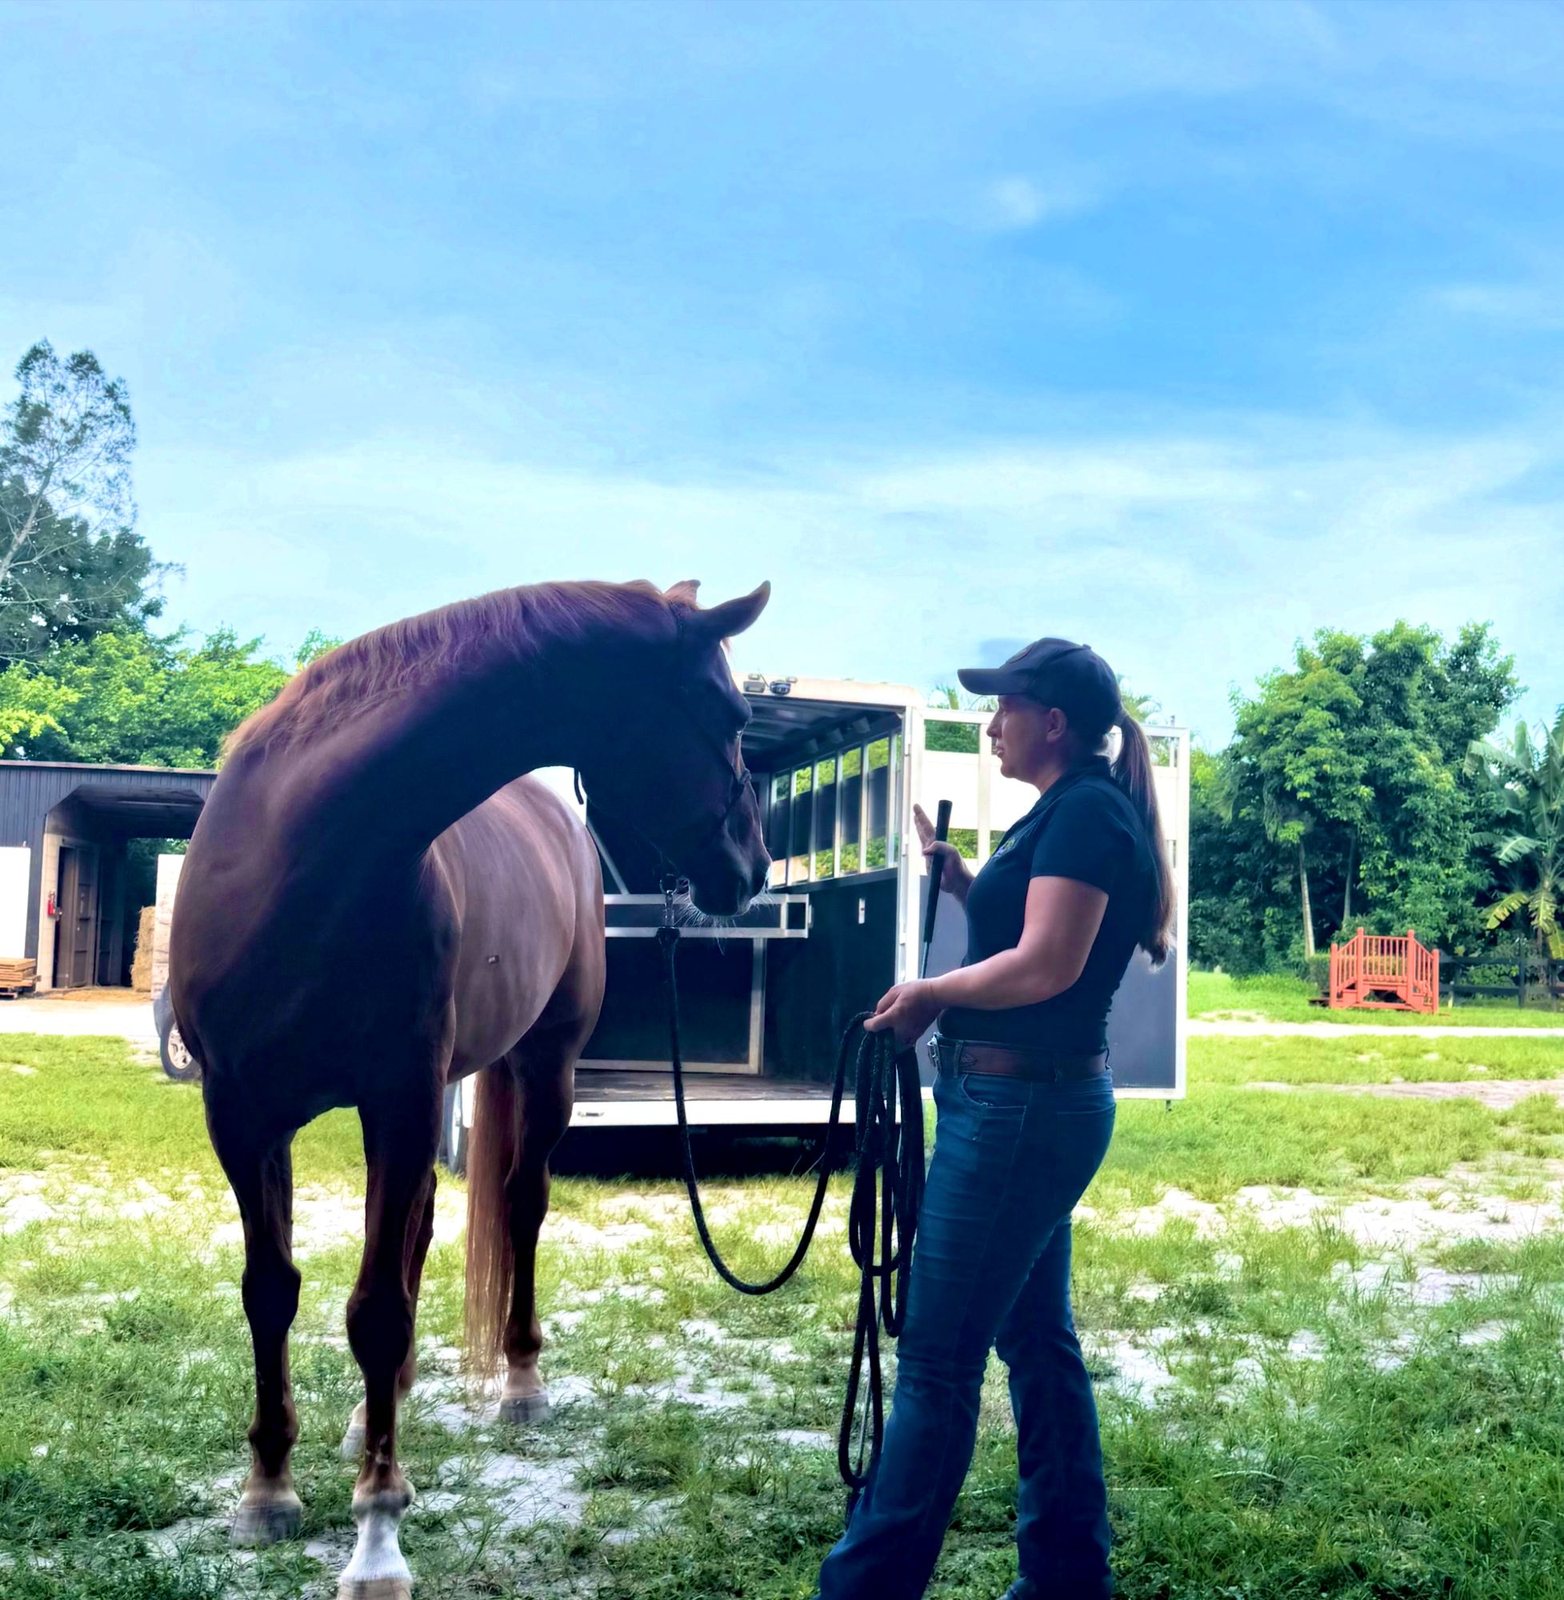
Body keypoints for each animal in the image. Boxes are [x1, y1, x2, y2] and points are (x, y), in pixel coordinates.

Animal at [169, 578, 772, 1600]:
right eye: (729, 715)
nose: (756, 867)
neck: (302, 859)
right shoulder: (243, 1118)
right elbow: (271, 1292)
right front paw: (268, 1489)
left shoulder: (402, 1099)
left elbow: (375, 1310)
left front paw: (377, 1537)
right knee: (414, 1235)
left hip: (542, 1068)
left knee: (520, 1207)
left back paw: (520, 1385)